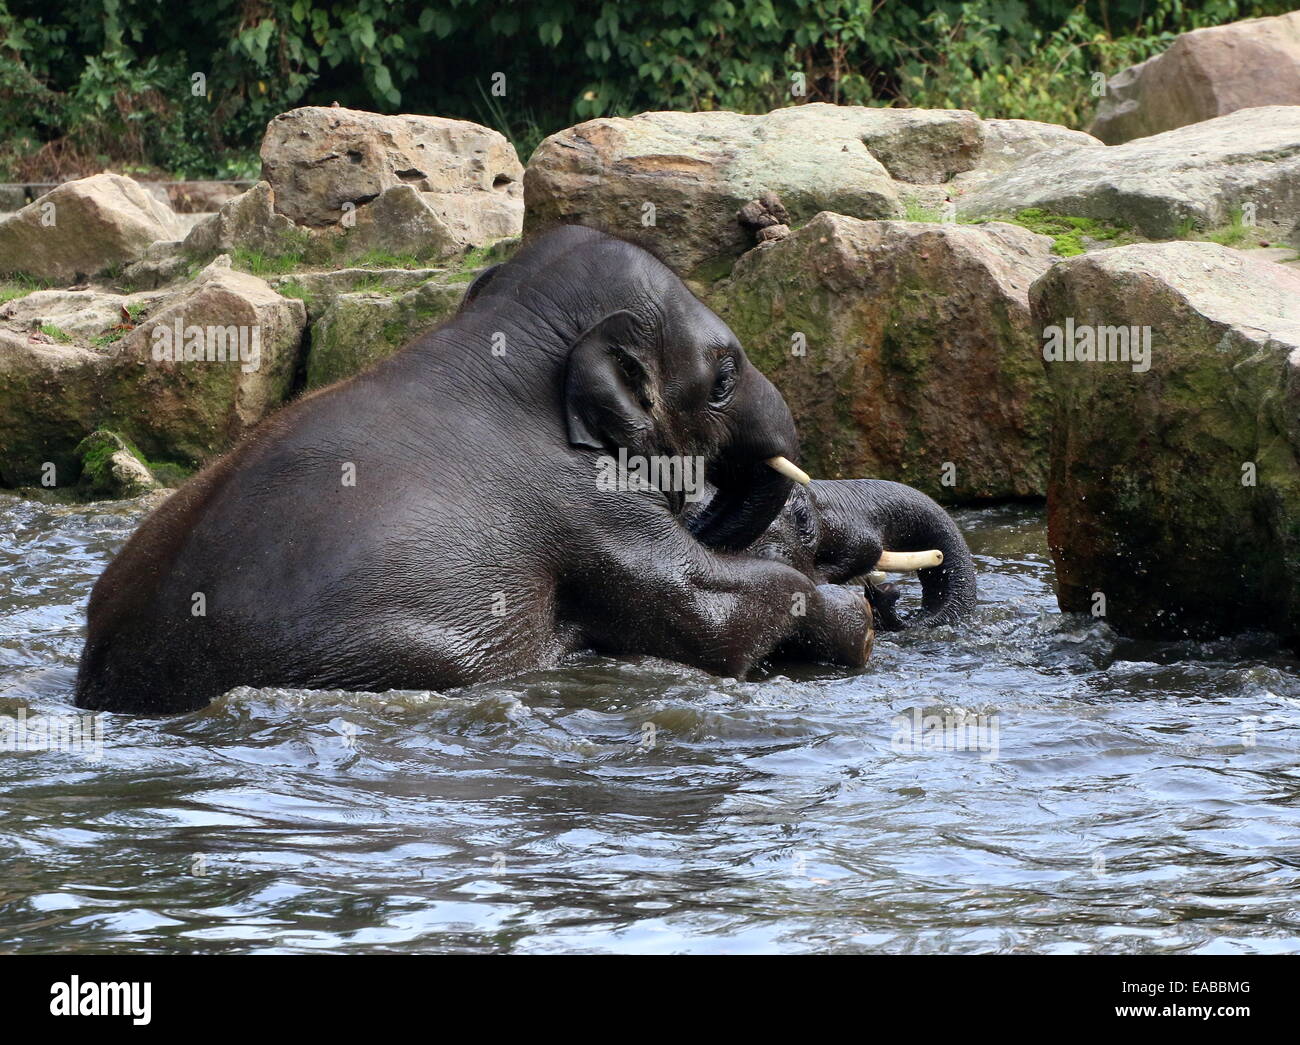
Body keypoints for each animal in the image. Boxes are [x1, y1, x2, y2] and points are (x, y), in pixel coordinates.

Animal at [68, 224, 967, 712]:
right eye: (723, 376)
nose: (903, 601)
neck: (503, 340)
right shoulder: (584, 502)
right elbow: (702, 610)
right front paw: (857, 617)